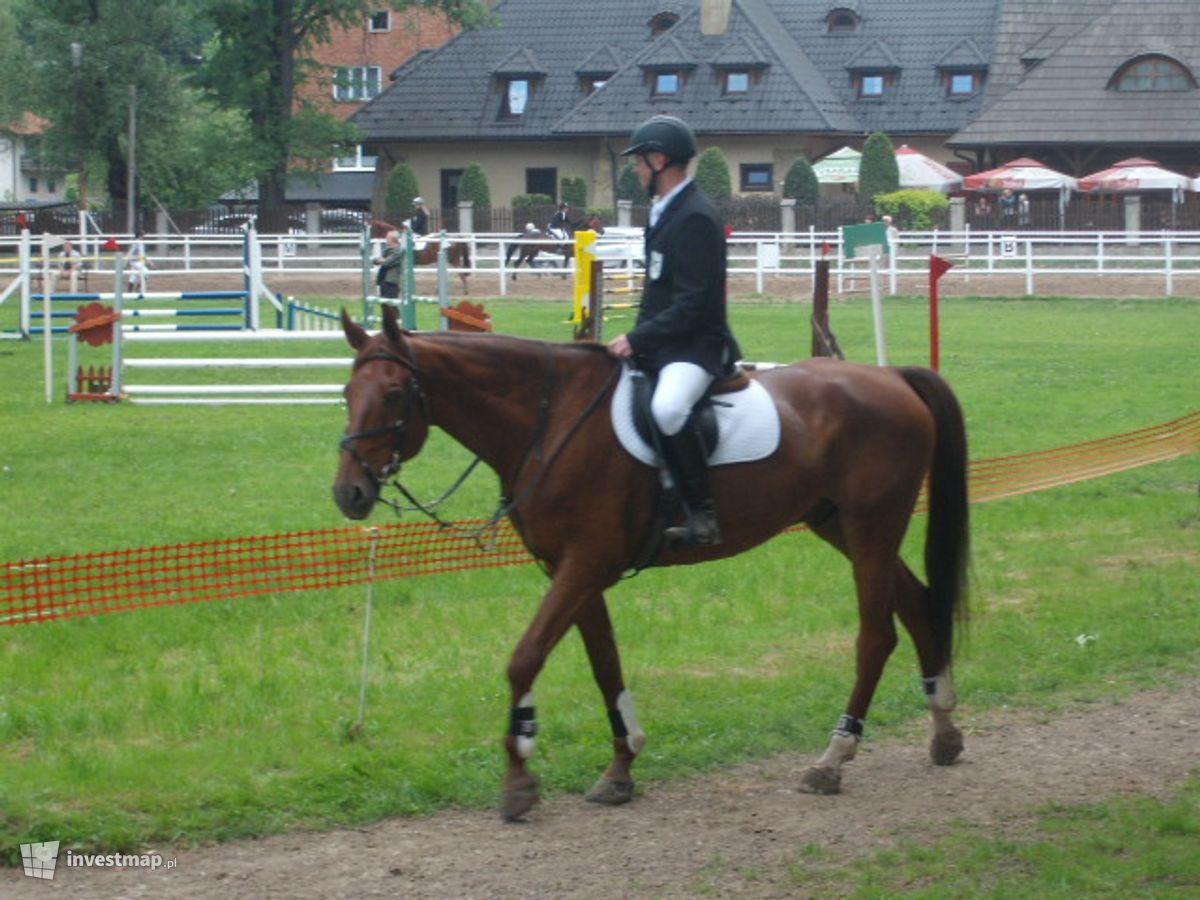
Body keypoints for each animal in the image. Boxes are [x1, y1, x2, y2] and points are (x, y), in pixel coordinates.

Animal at [333, 304, 969, 825]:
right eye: (346, 392)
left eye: (395, 393)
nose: (349, 495)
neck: (550, 420)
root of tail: (891, 376)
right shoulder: (572, 569)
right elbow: (604, 665)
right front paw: (620, 769)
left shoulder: (584, 563)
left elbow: (525, 658)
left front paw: (519, 776)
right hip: (840, 525)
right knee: (917, 604)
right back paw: (943, 730)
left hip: (870, 528)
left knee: (876, 636)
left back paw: (834, 758)